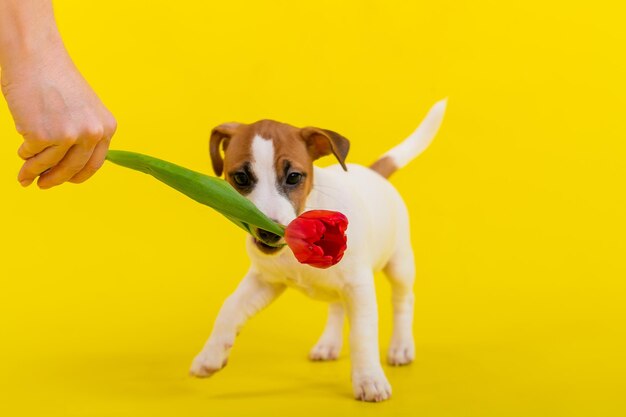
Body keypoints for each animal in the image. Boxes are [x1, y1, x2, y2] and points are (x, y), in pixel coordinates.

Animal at [189, 99, 444, 402]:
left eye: (293, 177)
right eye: (240, 177)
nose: (268, 232)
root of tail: (373, 172)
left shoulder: (359, 287)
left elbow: (362, 334)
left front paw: (369, 379)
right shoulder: (265, 280)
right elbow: (229, 308)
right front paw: (210, 356)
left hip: (399, 263)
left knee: (403, 300)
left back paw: (401, 346)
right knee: (337, 308)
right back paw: (328, 344)